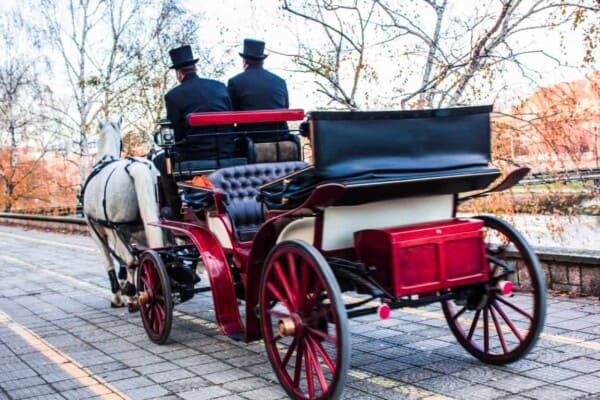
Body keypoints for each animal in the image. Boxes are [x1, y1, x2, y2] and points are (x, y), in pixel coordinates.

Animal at [82, 119, 165, 310]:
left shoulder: (98, 229)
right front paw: (125, 286)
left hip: (116, 227)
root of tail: (136, 166)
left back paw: (134, 297)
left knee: (130, 258)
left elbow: (109, 260)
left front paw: (118, 295)